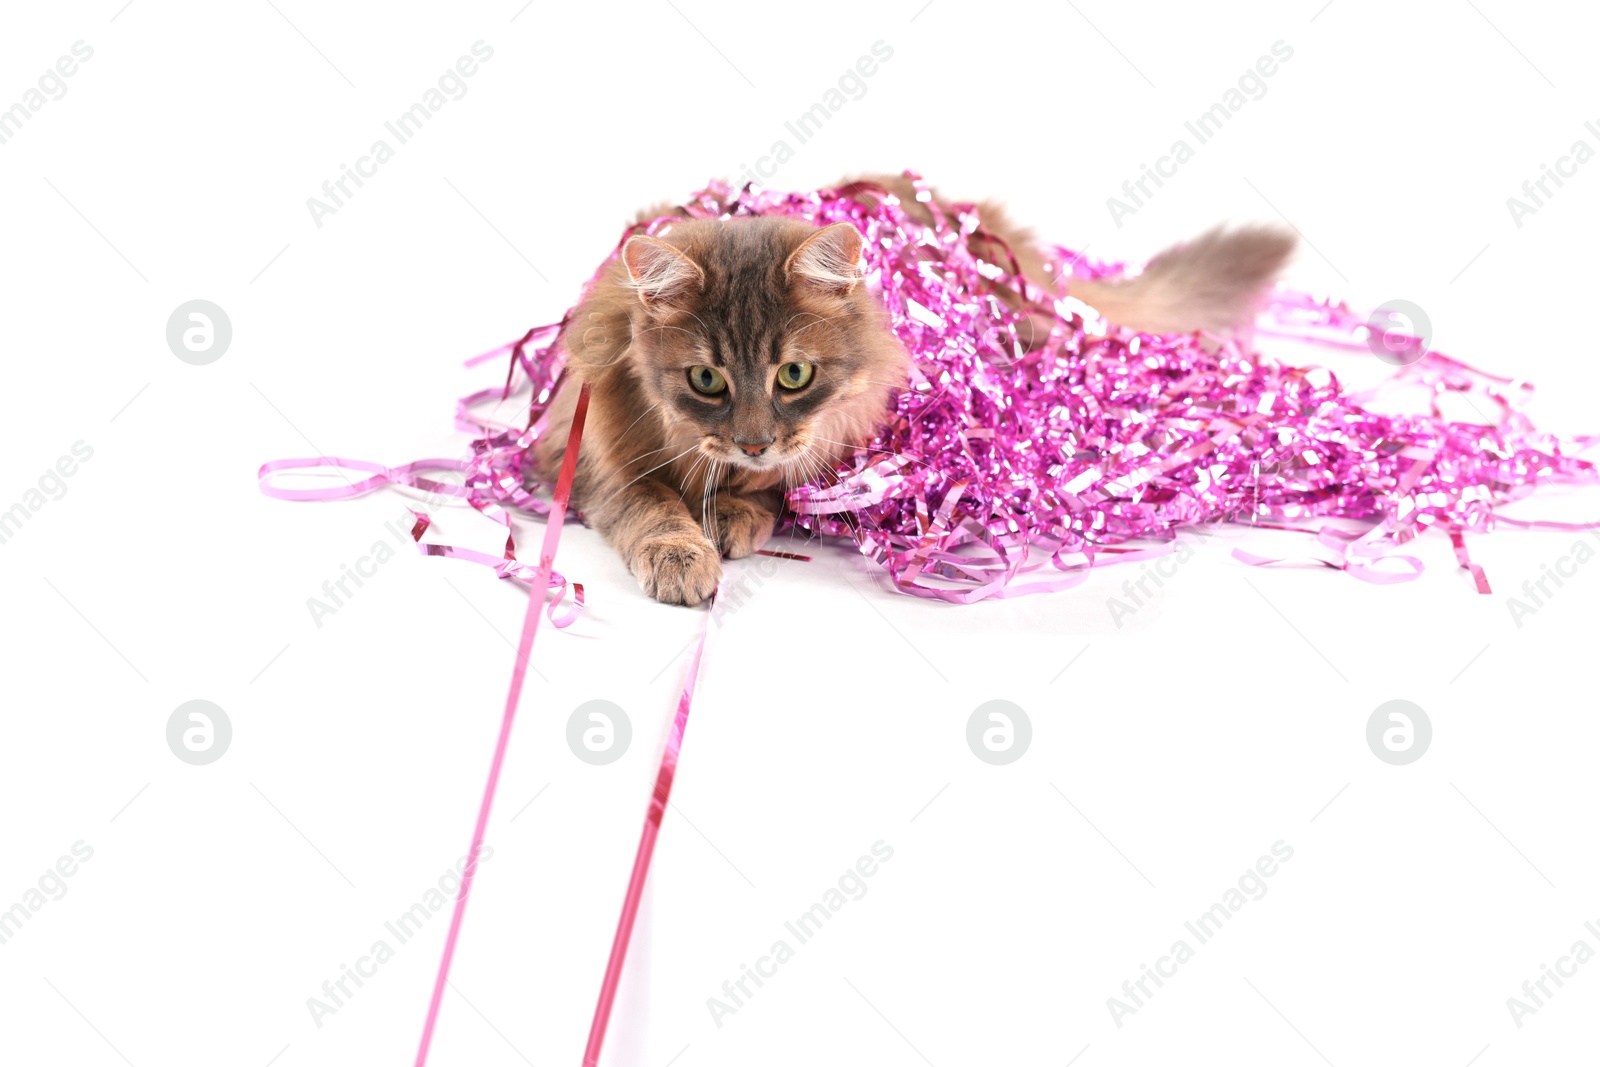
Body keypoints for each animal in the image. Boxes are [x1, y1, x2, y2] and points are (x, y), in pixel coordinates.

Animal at [531, 179, 1292, 604]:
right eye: (707, 380)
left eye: (793, 376)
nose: (752, 442)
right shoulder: (597, 454)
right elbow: (651, 506)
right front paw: (684, 553)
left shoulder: (841, 440)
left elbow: (781, 486)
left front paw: (736, 513)